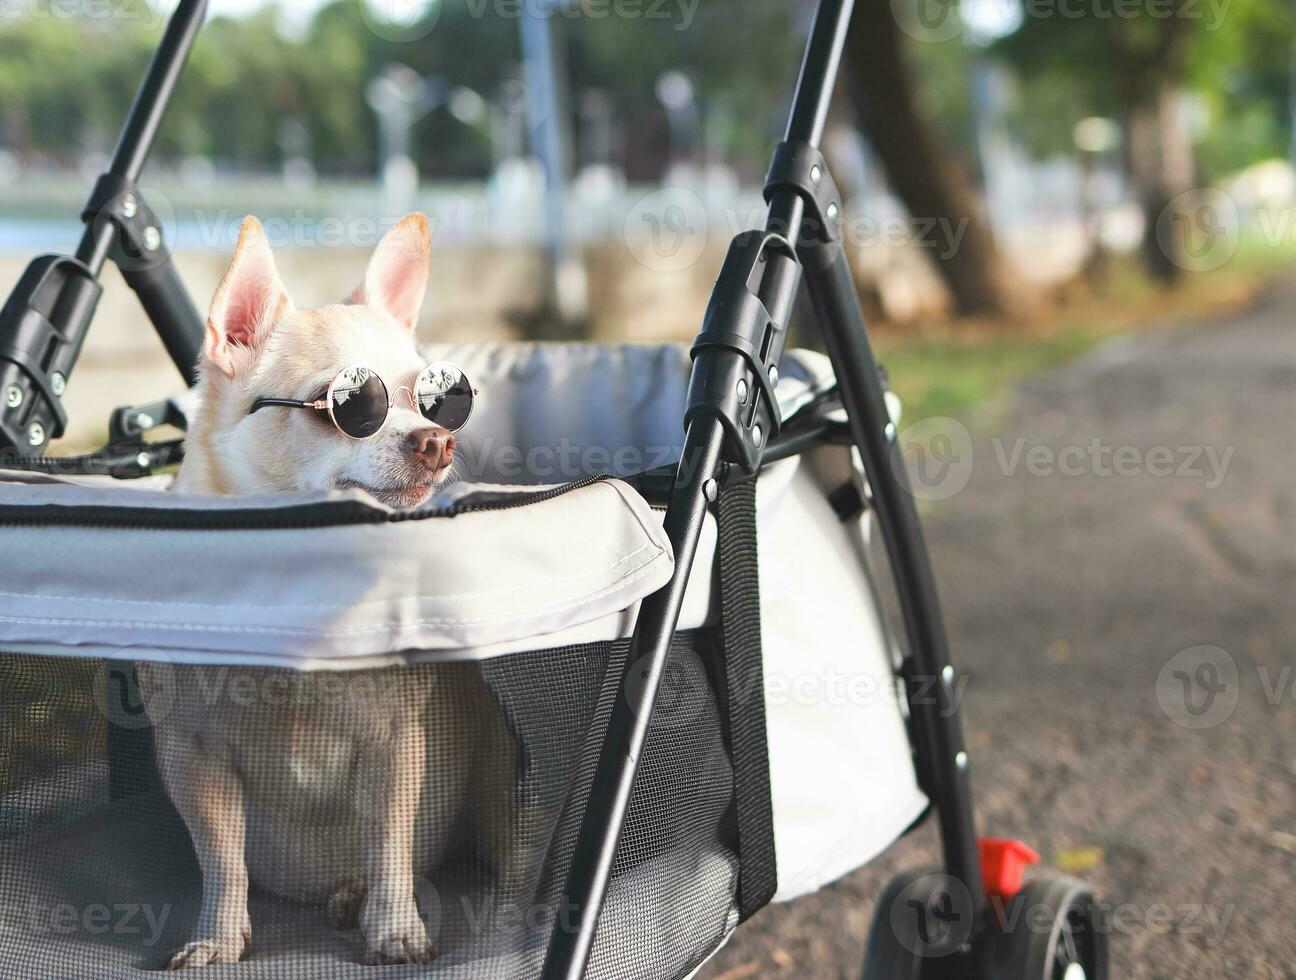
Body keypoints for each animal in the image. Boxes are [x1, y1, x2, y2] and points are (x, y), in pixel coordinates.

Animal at [139, 209, 508, 969]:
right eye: (351, 404)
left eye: (435, 400)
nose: (437, 441)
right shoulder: (192, 755)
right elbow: (221, 858)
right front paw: (217, 937)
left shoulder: (397, 748)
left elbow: (390, 843)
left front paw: (394, 927)